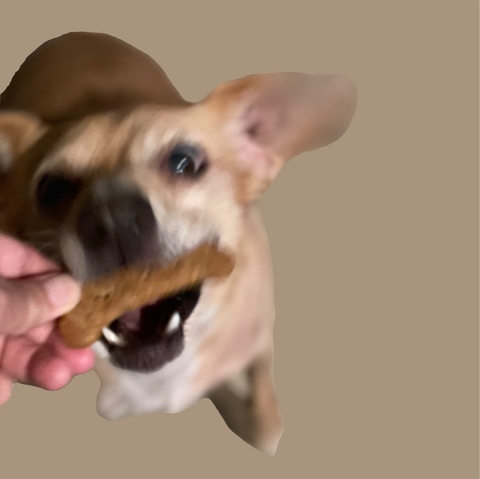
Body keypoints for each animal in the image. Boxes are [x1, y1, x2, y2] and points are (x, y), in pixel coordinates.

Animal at [0, 32, 356, 454]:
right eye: (50, 190)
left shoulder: (258, 343)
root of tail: (69, 34)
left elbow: (260, 396)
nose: (112, 216)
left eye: (184, 163)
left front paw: (260, 425)